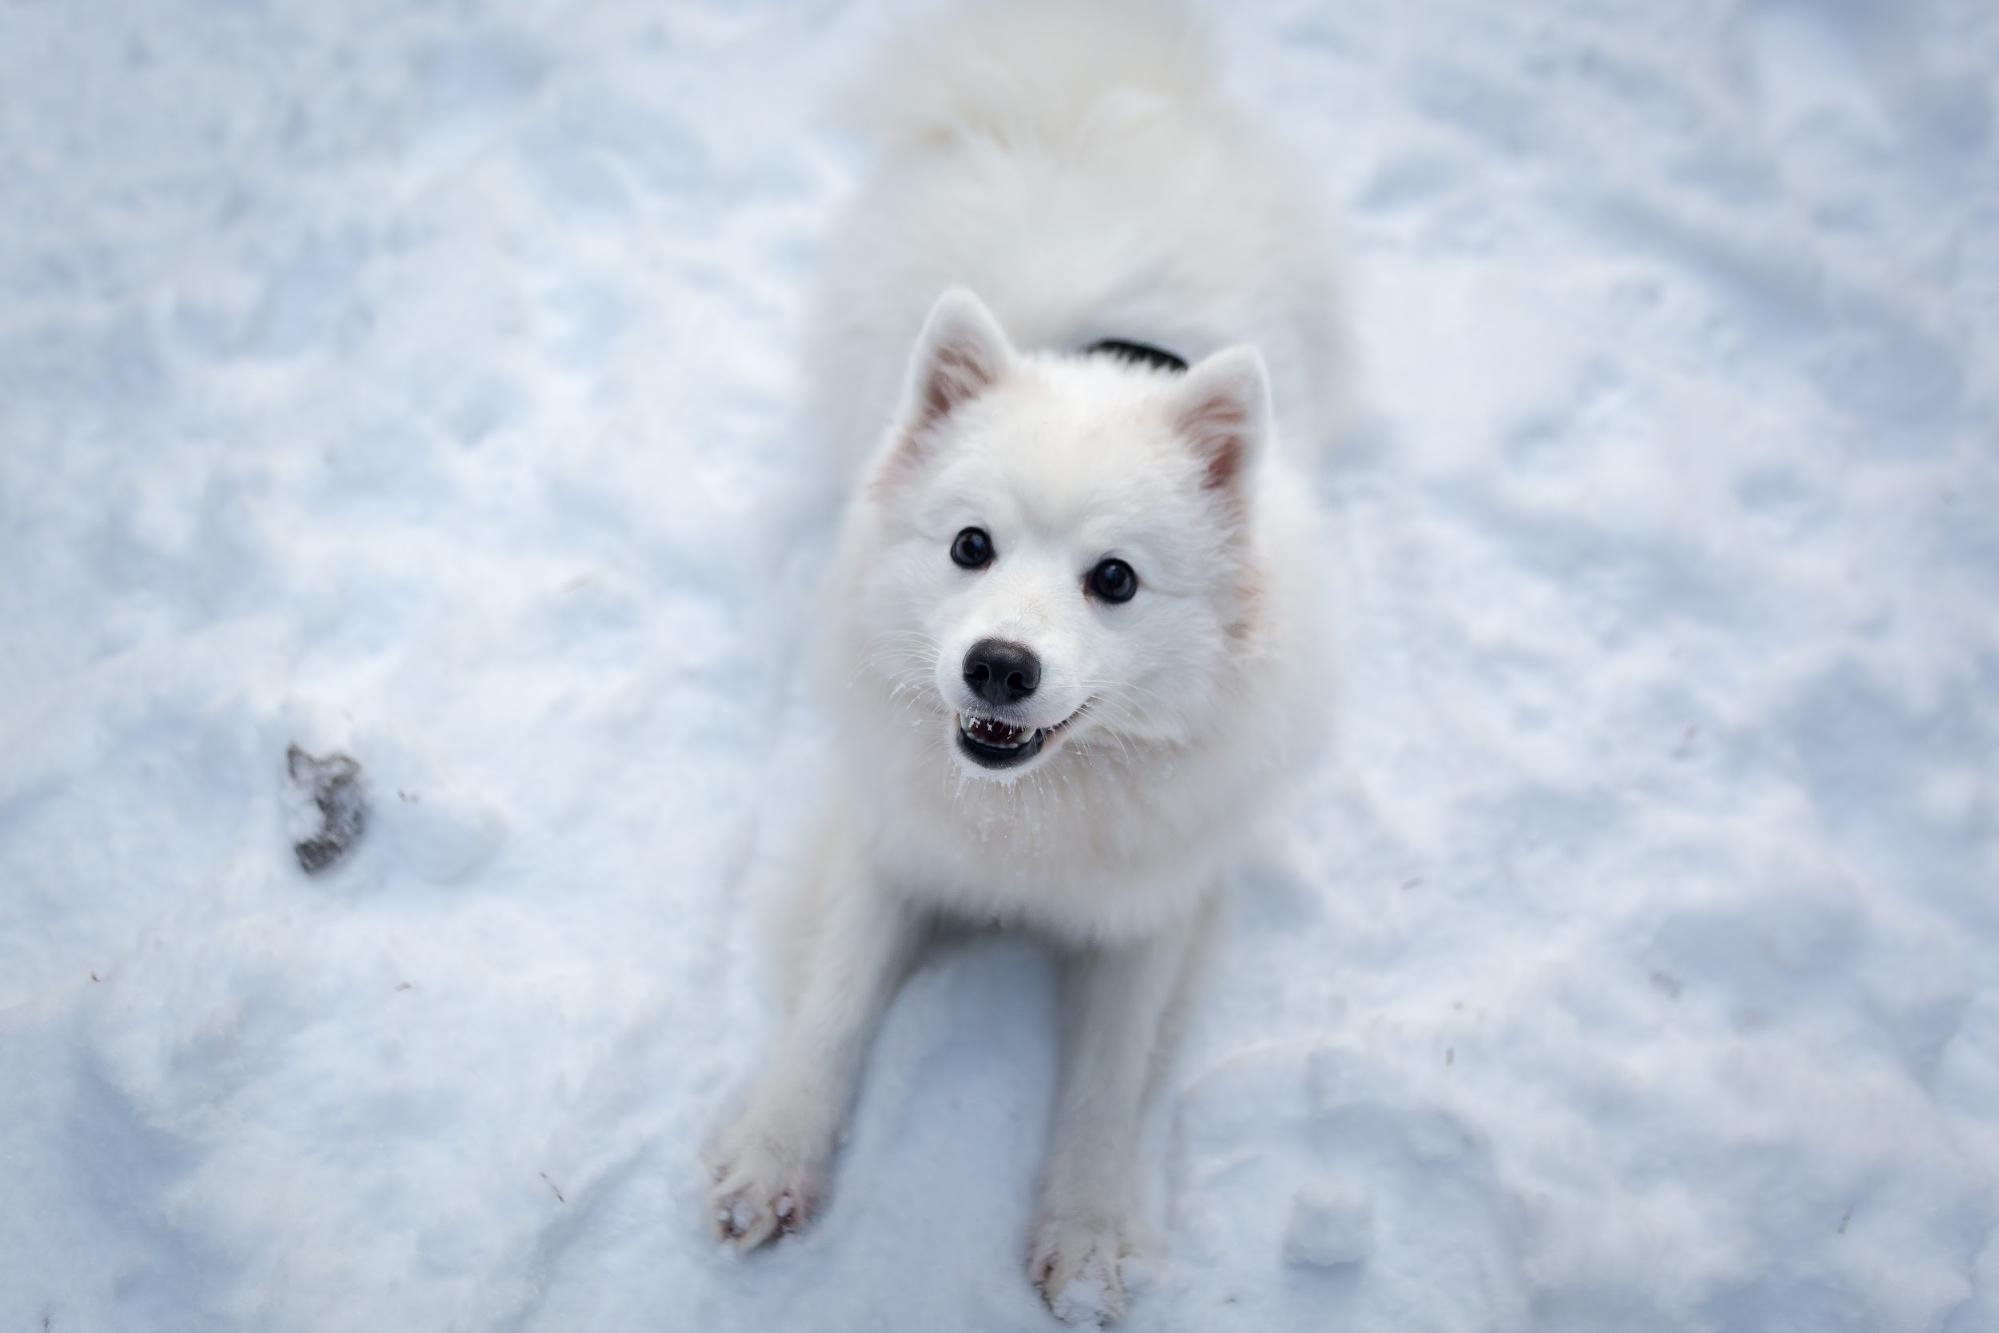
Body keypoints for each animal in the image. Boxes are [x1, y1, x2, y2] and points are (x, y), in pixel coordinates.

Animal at [703, 2, 1343, 1327]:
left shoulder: (1153, 907)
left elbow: (1105, 1083)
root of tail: (1085, 82)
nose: (997, 666)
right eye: (969, 546)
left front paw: (1089, 1237)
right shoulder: (887, 845)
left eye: (1115, 580)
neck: (1031, 814)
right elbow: (831, 1007)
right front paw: (771, 1158)